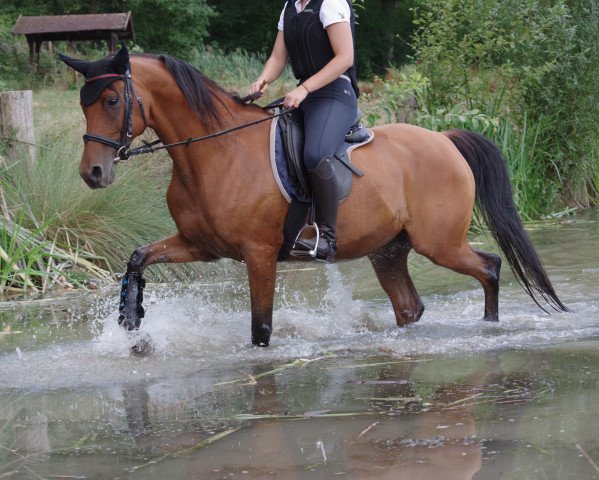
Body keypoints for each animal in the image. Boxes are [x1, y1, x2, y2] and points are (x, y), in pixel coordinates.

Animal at [61, 45, 568, 346]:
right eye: (84, 104)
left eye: (111, 101)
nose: (93, 173)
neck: (215, 152)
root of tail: (444, 139)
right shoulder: (199, 245)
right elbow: (138, 256)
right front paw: (130, 319)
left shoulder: (259, 253)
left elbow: (261, 327)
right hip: (390, 249)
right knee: (410, 306)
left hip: (438, 242)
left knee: (490, 267)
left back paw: (489, 329)